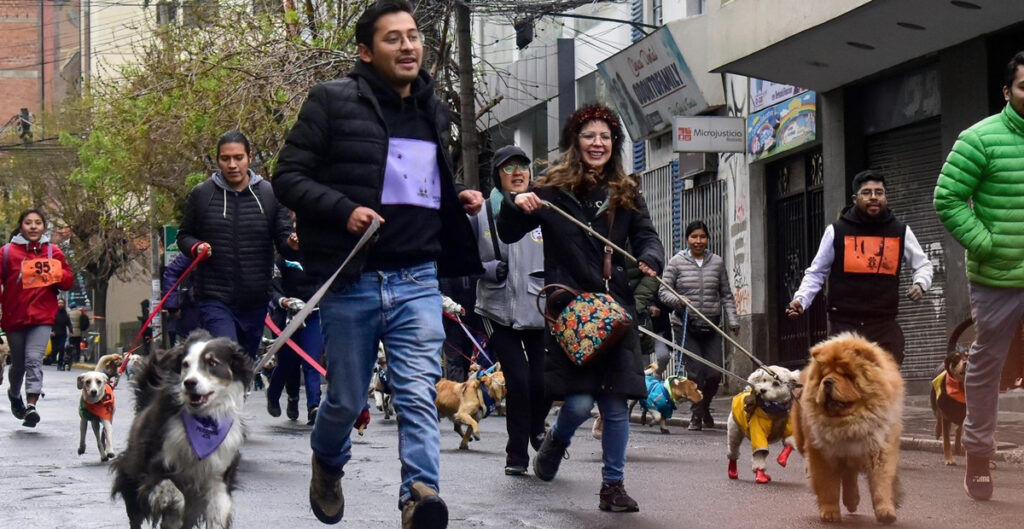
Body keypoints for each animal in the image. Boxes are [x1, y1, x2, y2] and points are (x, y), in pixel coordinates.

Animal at [790, 331, 905, 521]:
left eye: (846, 375)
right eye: (824, 374)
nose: (827, 381)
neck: (849, 423)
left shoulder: (880, 449)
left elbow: (882, 483)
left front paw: (886, 512)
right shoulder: (822, 453)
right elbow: (828, 485)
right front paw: (830, 513)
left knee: (850, 475)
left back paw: (852, 501)